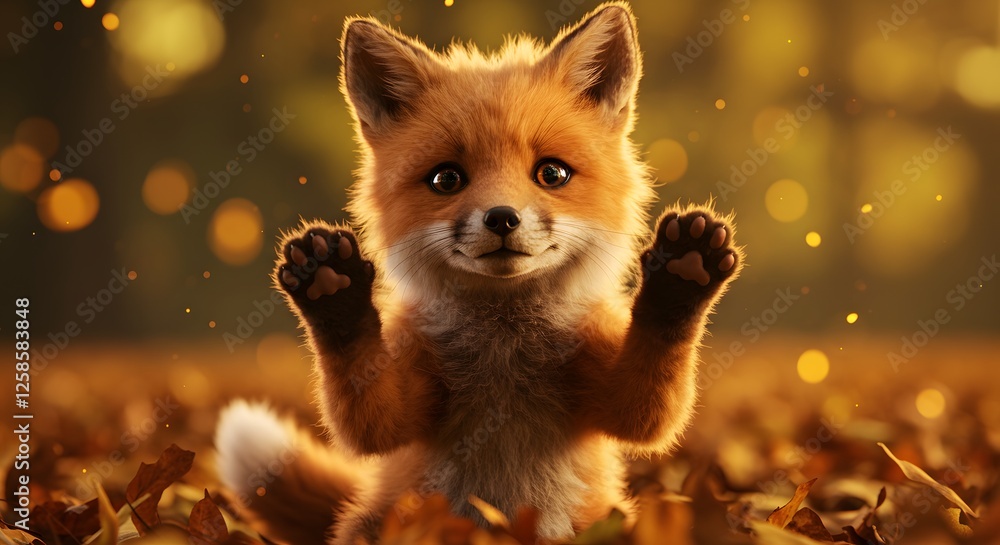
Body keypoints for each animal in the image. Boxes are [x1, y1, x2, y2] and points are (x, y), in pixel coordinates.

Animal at [214, 3, 742, 544]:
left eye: (552, 173)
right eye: (446, 179)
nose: (502, 218)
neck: (504, 342)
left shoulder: (607, 385)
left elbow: (649, 405)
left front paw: (682, 278)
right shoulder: (408, 387)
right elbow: (368, 419)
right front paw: (333, 295)